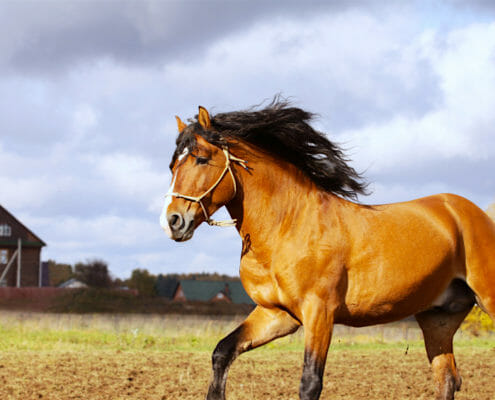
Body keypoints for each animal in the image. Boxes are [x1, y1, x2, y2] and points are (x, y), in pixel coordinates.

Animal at [160, 101, 495, 400]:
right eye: (173, 164)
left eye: (202, 158)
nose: (173, 221)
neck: (287, 226)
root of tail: (471, 213)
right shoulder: (277, 314)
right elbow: (222, 352)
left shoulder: (319, 312)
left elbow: (310, 383)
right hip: (437, 319)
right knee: (447, 379)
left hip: (486, 299)